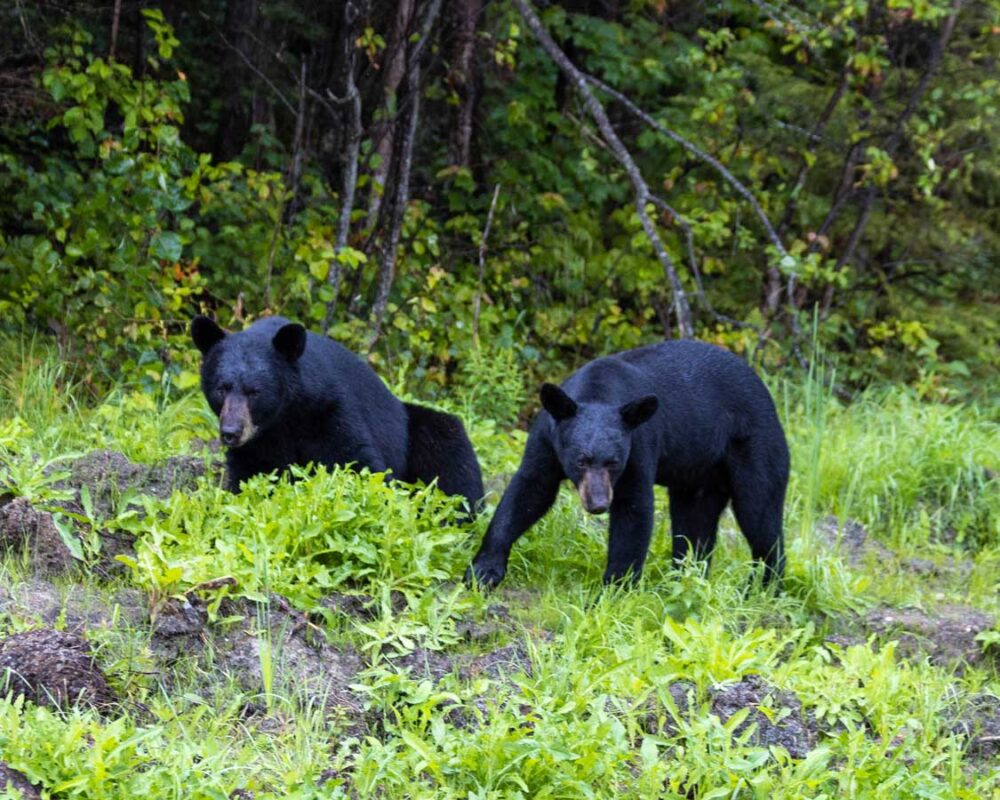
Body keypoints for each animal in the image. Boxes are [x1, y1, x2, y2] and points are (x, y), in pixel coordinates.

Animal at [190, 316, 484, 516]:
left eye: (255, 392)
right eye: (221, 388)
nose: (231, 432)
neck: (283, 419)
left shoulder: (328, 410)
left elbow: (358, 463)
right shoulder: (257, 444)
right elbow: (250, 476)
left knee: (451, 455)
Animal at [466, 340, 788, 592]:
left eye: (613, 462)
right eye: (581, 461)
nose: (597, 503)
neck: (598, 391)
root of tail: (765, 391)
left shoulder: (639, 446)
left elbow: (633, 511)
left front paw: (612, 590)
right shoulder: (547, 441)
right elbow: (529, 491)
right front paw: (483, 571)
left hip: (755, 445)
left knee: (760, 513)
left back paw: (762, 588)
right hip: (698, 472)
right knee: (693, 524)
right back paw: (683, 580)